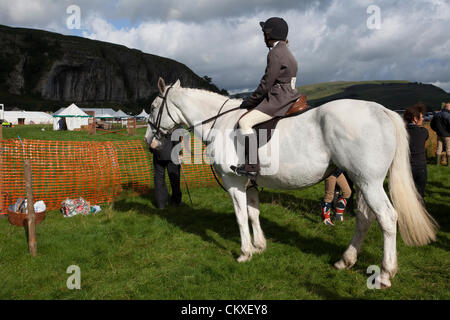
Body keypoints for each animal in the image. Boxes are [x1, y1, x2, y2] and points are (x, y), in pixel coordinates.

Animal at [146, 77, 438, 288]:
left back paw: (386, 273)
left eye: (152, 108)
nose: (150, 141)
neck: (221, 122)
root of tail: (383, 110)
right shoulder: (250, 184)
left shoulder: (234, 183)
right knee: (366, 219)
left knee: (387, 218)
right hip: (364, 183)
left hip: (369, 182)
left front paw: (245, 252)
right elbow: (253, 213)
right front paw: (260, 246)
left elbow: (240, 217)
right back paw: (345, 260)